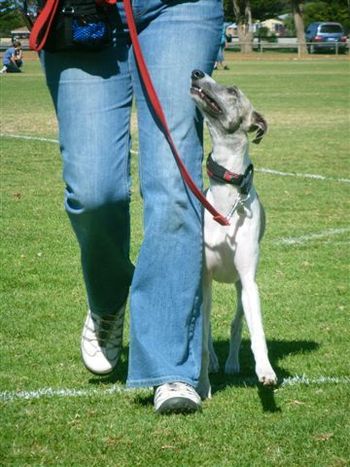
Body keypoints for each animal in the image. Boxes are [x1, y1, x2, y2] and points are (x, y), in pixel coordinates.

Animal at [190, 70, 278, 398]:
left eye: (232, 91)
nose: (197, 72)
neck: (227, 202)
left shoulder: (249, 280)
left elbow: (257, 332)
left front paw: (266, 371)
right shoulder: (202, 278)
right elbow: (202, 343)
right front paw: (202, 386)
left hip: (239, 286)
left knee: (236, 322)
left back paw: (229, 363)